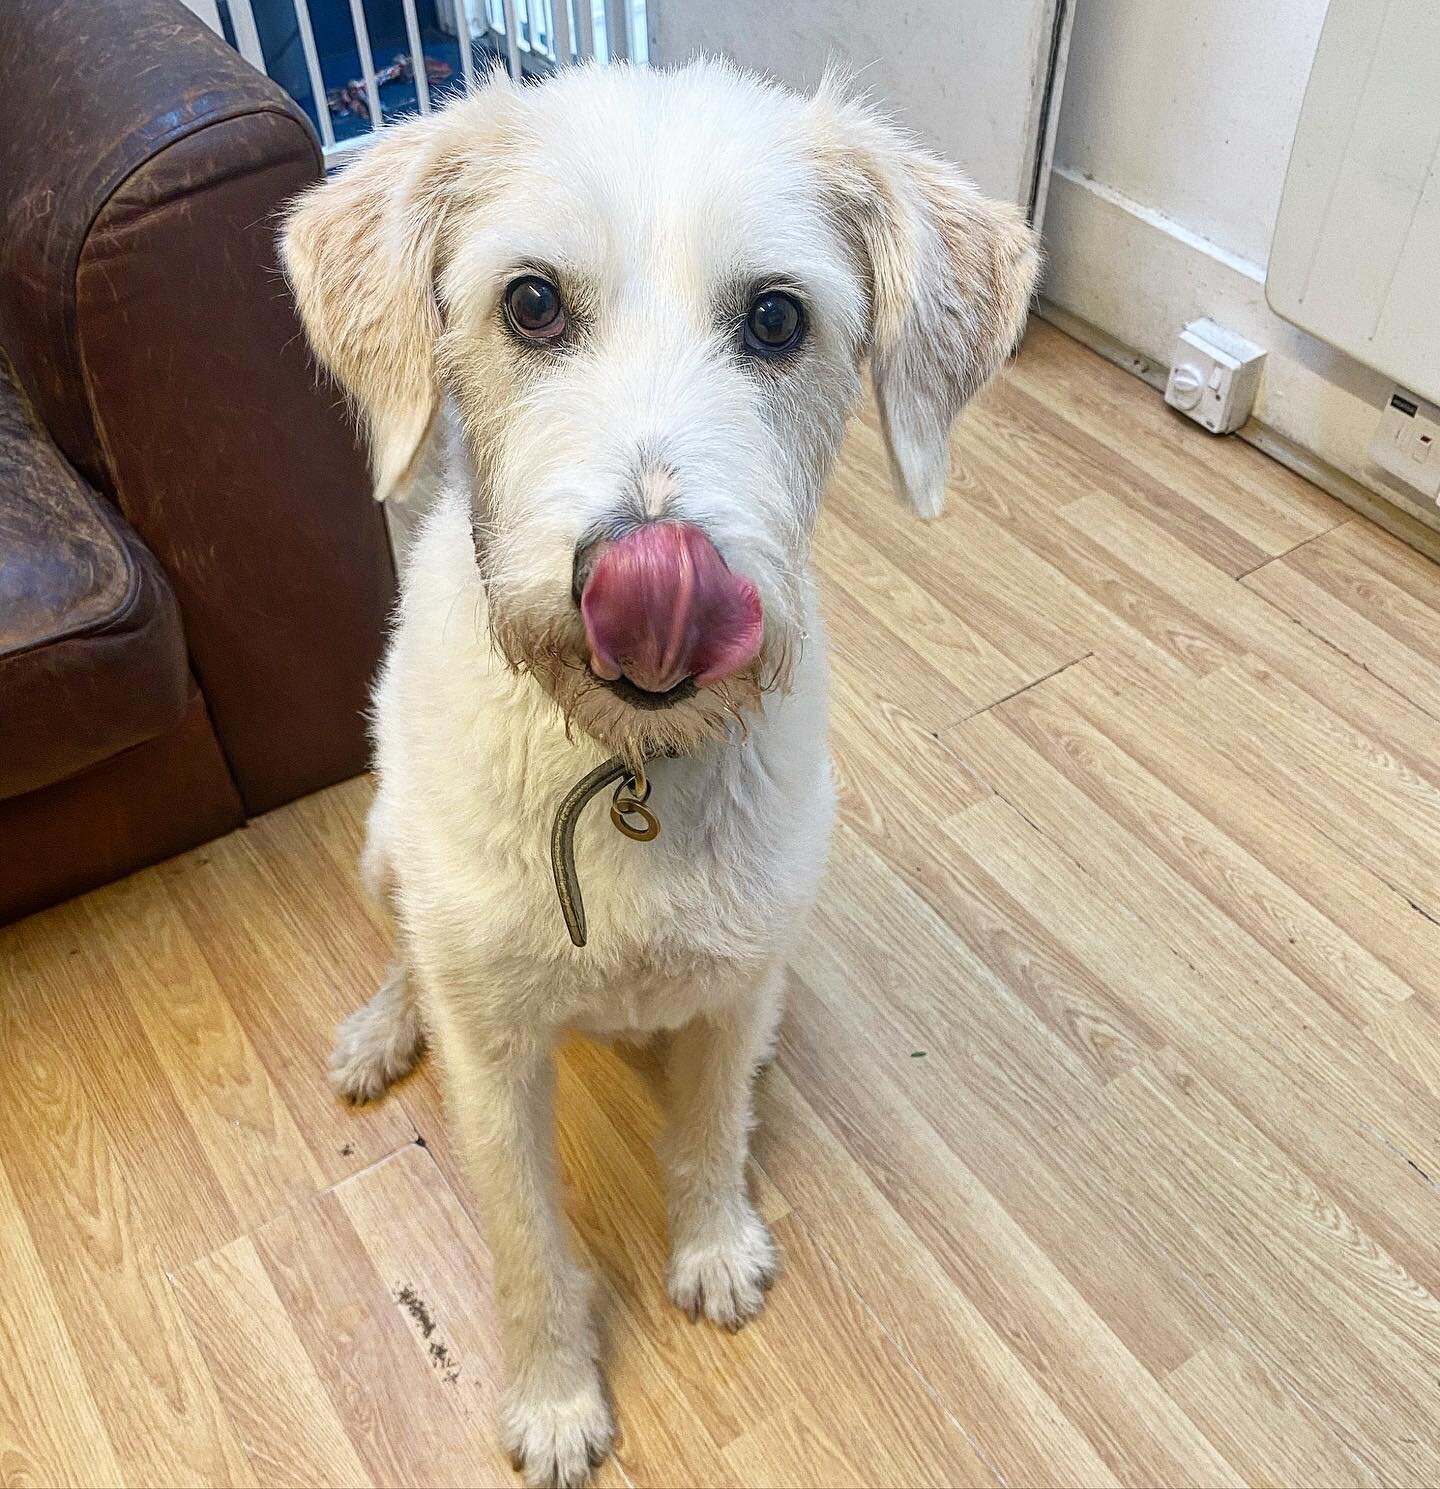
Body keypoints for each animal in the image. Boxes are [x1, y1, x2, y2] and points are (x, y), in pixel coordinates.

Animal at [281, 52, 1036, 1483]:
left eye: (778, 320)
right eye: (530, 302)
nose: (647, 569)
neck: (624, 766)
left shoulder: (732, 988)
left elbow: (709, 1126)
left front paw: (712, 1246)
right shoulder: (495, 1061)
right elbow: (525, 1238)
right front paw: (554, 1398)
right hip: (379, 851)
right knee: (406, 949)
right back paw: (379, 1027)